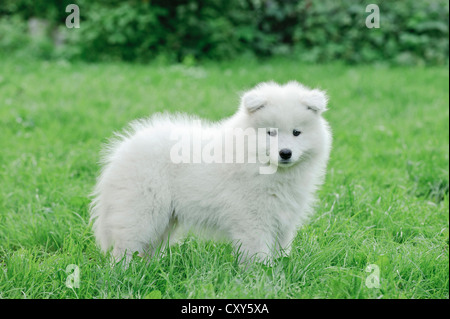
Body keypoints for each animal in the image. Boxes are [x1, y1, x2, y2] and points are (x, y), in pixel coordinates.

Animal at [89, 81, 332, 264]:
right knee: (126, 245)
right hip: (142, 210)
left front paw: (282, 267)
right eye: (270, 132)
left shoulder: (283, 218)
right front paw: (262, 276)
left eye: (297, 132)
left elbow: (281, 248)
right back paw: (123, 273)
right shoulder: (253, 219)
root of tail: (121, 151)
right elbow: (259, 253)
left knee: (148, 247)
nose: (285, 153)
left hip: (164, 219)